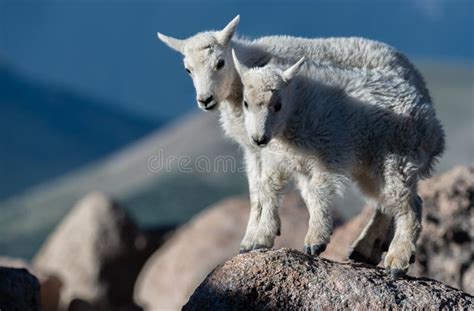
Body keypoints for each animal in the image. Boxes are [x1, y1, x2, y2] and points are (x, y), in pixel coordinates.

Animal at [233, 51, 444, 278]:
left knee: (408, 205)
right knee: (398, 202)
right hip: (373, 167)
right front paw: (261, 239)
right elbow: (271, 191)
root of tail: (434, 128)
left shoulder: (327, 155)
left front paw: (315, 242)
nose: (258, 139)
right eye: (245, 103)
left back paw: (397, 260)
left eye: (277, 105)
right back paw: (367, 249)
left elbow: (317, 193)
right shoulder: (282, 160)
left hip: (397, 159)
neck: (296, 109)